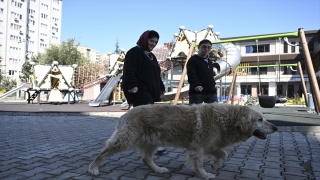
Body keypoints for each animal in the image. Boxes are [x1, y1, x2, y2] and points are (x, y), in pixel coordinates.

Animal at [88, 103, 278, 179]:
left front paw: (216, 165)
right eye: (260, 120)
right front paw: (205, 175)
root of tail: (125, 114)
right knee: (102, 153)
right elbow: (199, 164)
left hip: (152, 142)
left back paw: (158, 169)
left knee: (146, 158)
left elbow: (223, 154)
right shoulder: (198, 147)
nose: (276, 128)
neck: (228, 119)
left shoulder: (210, 145)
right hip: (125, 140)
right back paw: (93, 168)